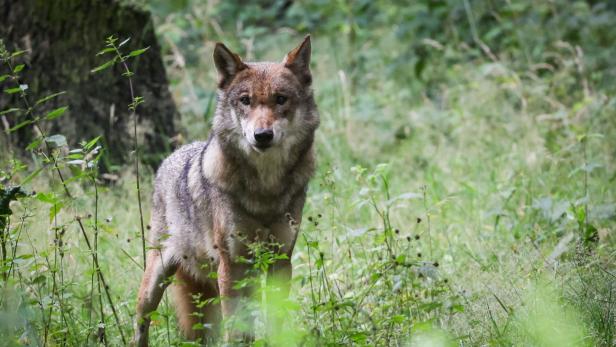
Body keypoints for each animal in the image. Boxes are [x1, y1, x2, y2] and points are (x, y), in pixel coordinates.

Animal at [133, 36, 320, 347]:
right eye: (245, 100)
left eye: (281, 99)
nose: (262, 136)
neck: (265, 190)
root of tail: (170, 157)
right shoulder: (232, 265)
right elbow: (237, 329)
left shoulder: (280, 260)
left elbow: (276, 322)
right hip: (156, 282)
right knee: (141, 322)